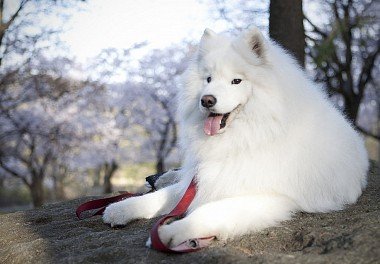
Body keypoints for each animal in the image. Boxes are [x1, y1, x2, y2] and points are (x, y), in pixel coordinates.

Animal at [103, 27, 368, 250]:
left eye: (236, 81)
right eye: (208, 79)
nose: (207, 100)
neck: (243, 137)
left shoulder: (268, 196)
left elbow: (207, 212)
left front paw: (170, 233)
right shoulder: (204, 178)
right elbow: (161, 197)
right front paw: (119, 208)